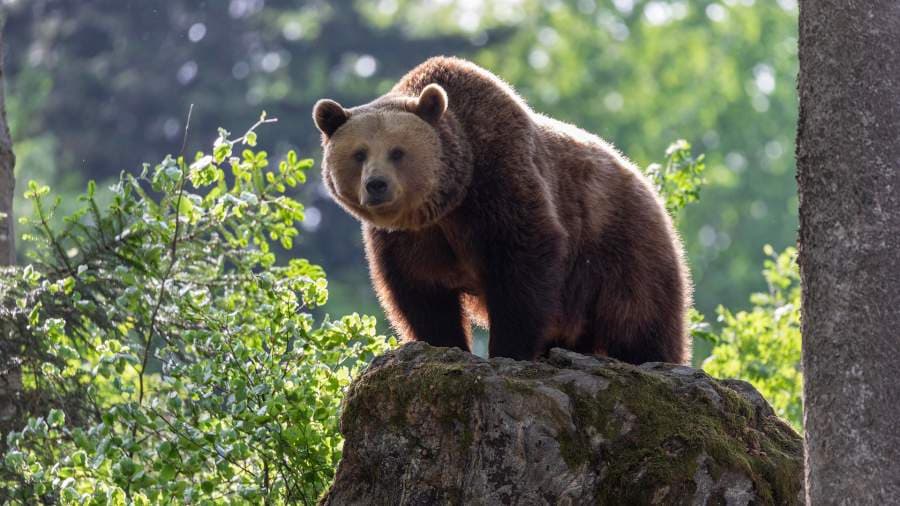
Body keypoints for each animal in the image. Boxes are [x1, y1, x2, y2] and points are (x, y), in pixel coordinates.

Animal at [312, 56, 691, 364]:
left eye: (397, 151)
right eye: (359, 153)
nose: (376, 184)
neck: (449, 202)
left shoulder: (498, 184)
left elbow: (522, 262)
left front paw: (509, 350)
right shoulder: (410, 237)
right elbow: (420, 290)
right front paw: (444, 345)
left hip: (621, 249)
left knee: (640, 319)